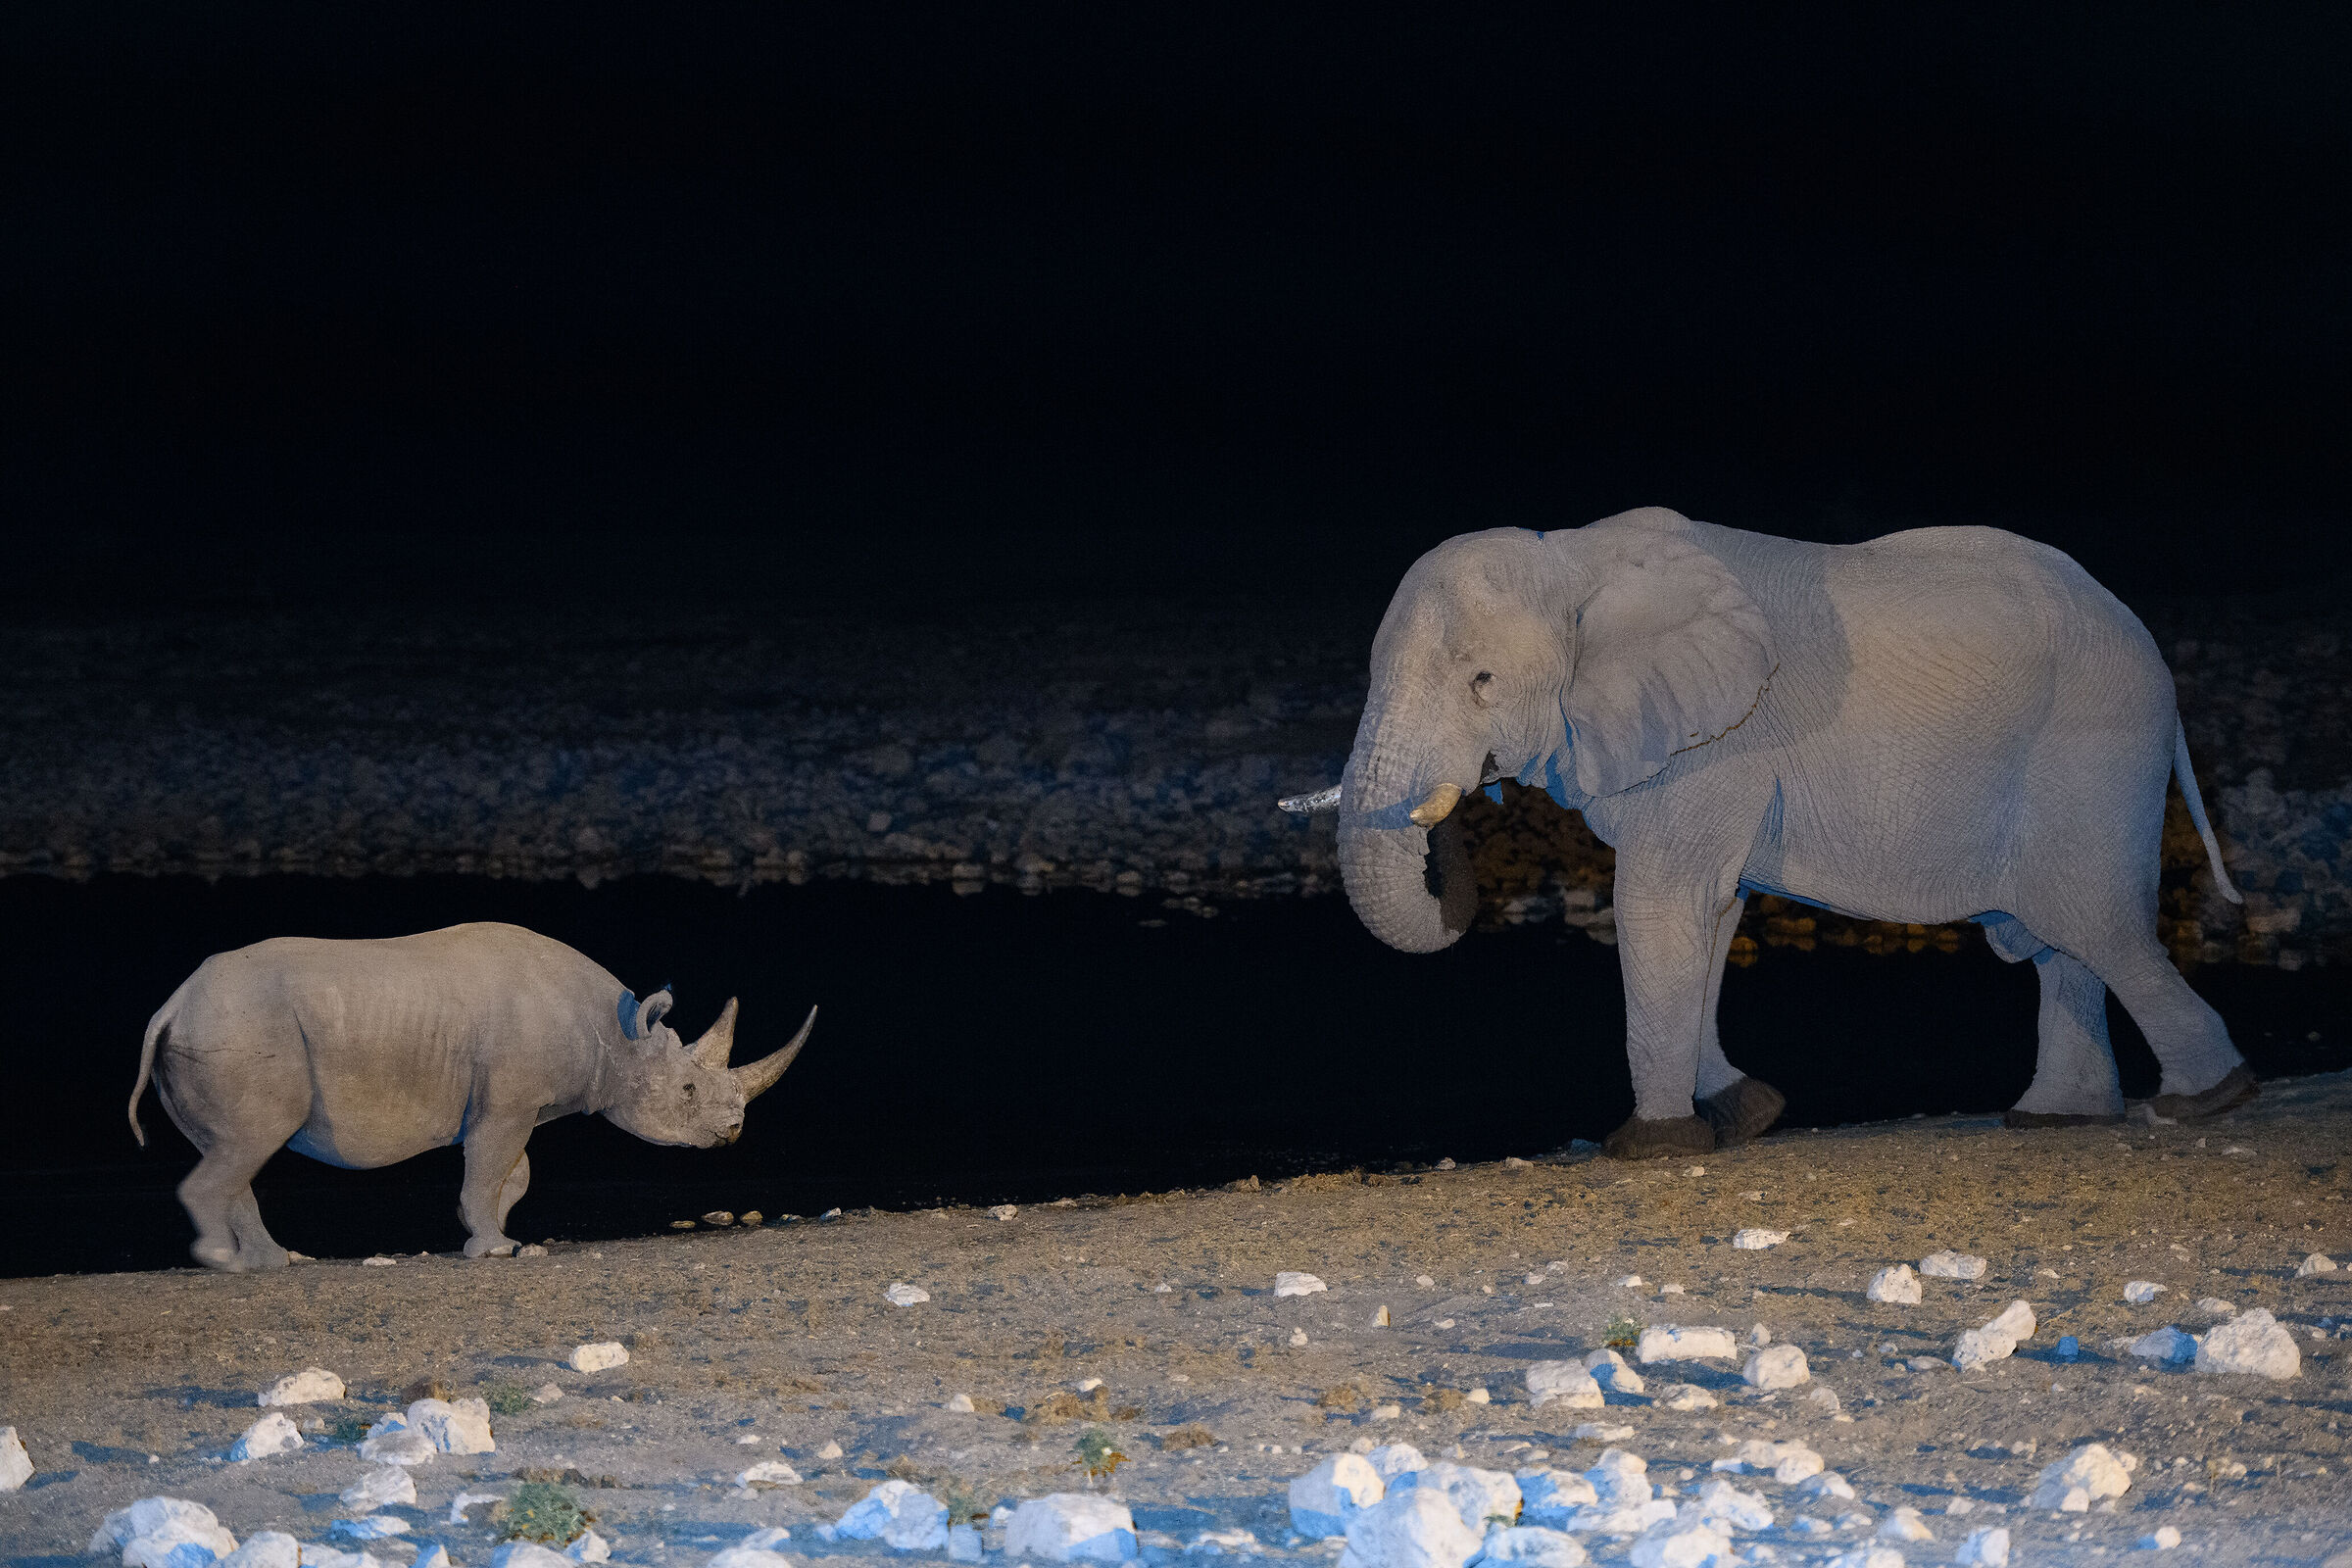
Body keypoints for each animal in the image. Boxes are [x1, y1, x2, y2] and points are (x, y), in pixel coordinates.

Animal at [128, 921, 815, 1271]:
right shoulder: (507, 1102)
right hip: (238, 1028)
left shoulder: (511, 1101)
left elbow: (512, 1172)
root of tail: (171, 1005)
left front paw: (490, 1231)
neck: (616, 1035)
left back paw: (273, 1262)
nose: (733, 1130)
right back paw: (224, 1260)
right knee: (252, 1141)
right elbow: (490, 1166)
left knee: (235, 1148)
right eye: (689, 1090)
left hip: (215, 1030)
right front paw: (495, 1247)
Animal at [1290, 507, 2252, 1157]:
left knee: (2092, 921)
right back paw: (2054, 1118)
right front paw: (1746, 1116)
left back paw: (2212, 1100)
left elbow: (1659, 904)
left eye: (1482, 681)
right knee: (2057, 942)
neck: (1570, 558)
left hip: (2093, 745)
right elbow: (1712, 915)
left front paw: (1650, 1148)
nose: (1466, 796)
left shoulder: (1716, 741)